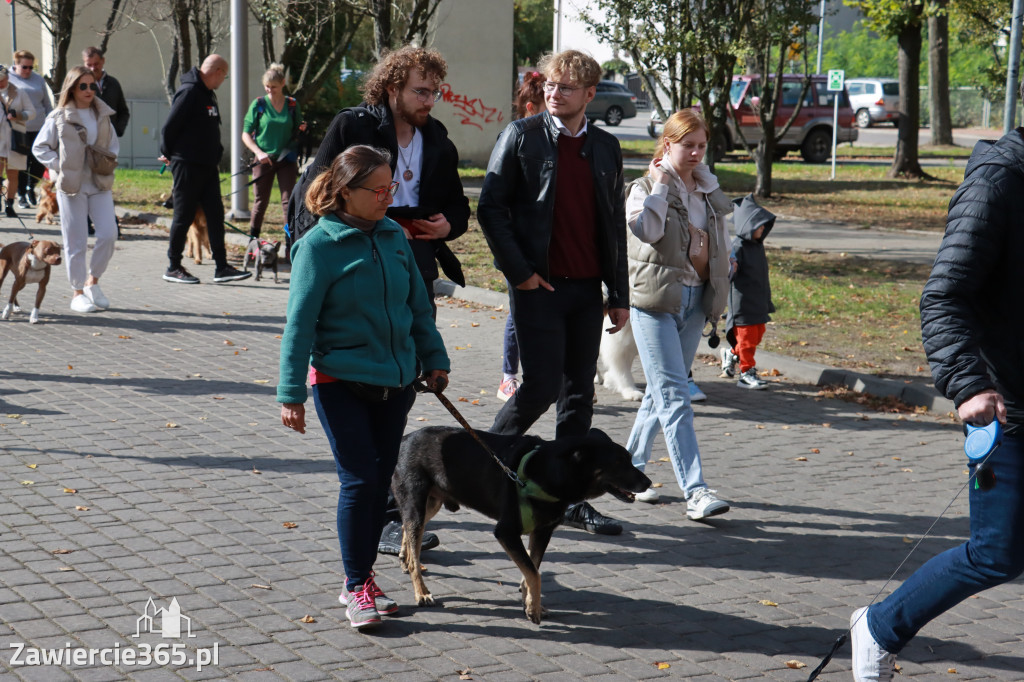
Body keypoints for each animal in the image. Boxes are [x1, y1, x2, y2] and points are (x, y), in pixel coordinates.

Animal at [391, 425, 647, 622]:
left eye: (629, 459)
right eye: (618, 462)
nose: (647, 482)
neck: (550, 471)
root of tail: (404, 438)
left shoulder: (542, 532)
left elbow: (531, 568)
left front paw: (531, 602)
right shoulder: (506, 532)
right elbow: (534, 572)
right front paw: (533, 609)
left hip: (431, 503)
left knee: (407, 529)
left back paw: (407, 558)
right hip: (417, 503)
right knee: (412, 537)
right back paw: (421, 591)